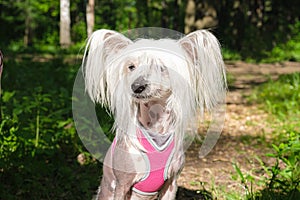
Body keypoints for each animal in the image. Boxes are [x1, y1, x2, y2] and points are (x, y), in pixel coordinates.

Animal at [81, 28, 226, 200]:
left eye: (160, 67)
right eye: (131, 67)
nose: (137, 86)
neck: (157, 129)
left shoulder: (171, 184)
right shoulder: (122, 185)